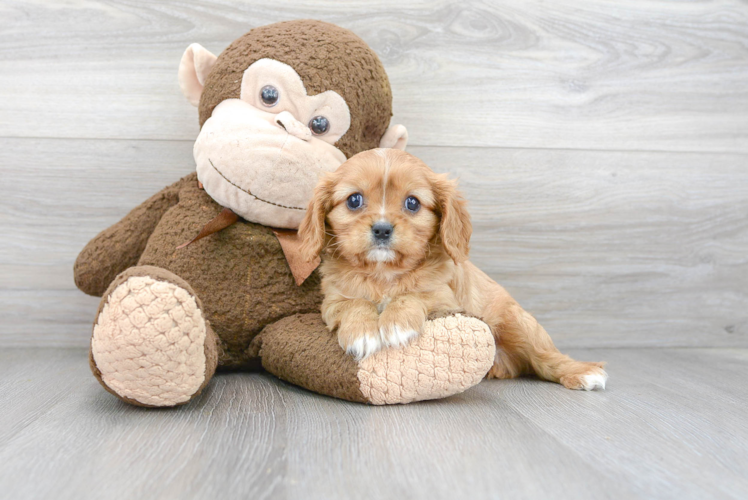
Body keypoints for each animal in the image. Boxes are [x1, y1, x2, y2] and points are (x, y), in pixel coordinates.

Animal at [298, 148, 608, 390]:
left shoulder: (443, 298)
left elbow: (412, 294)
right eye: (354, 200)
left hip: (520, 324)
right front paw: (362, 332)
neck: (384, 273)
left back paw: (583, 372)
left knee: (546, 358)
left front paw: (397, 323)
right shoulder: (334, 299)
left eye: (412, 202)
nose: (383, 229)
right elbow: (355, 304)